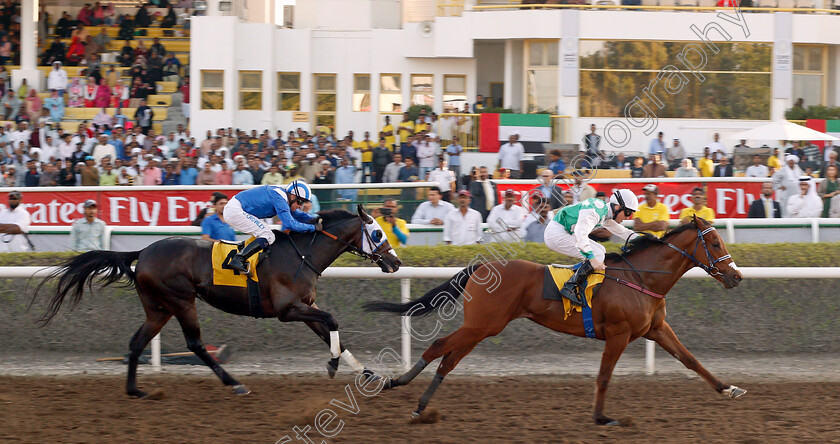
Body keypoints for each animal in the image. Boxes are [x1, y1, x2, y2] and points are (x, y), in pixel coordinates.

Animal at [364, 217, 744, 424]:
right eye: (713, 241)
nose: (736, 276)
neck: (642, 278)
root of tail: (482, 266)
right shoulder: (619, 334)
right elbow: (604, 376)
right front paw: (601, 417)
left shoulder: (656, 329)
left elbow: (691, 360)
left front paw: (728, 388)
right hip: (482, 324)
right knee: (439, 347)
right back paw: (396, 384)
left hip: (482, 327)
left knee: (449, 359)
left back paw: (419, 405)